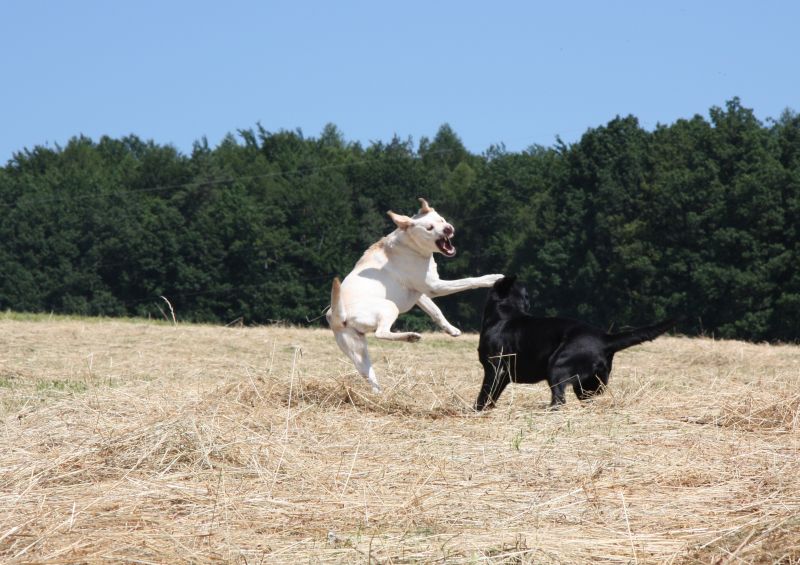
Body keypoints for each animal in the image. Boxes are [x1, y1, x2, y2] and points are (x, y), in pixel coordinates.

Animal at [476, 274, 676, 410]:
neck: (504, 313)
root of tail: (605, 338)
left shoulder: (495, 368)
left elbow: (484, 393)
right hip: (590, 385)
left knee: (559, 399)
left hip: (556, 367)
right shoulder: (503, 376)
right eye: (526, 296)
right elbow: (492, 396)